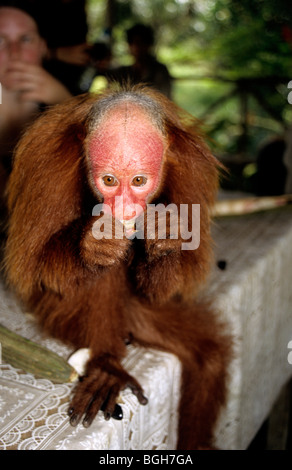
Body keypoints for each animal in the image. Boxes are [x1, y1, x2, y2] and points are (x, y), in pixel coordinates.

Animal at [2, 83, 230, 448]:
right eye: (109, 180)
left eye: (137, 181)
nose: (121, 209)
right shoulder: (47, 168)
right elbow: (32, 265)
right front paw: (93, 244)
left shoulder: (192, 172)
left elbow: (186, 274)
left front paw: (163, 239)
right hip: (56, 312)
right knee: (101, 272)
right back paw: (106, 362)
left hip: (146, 310)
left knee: (208, 358)